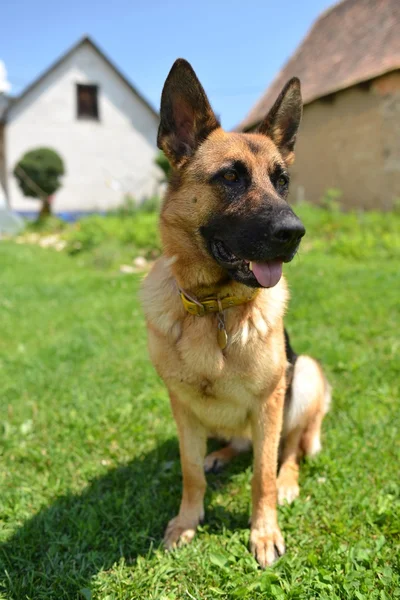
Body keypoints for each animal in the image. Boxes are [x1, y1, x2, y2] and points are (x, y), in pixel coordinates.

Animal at [141, 58, 332, 564]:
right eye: (229, 177)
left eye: (282, 181)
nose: (294, 233)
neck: (215, 308)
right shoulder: (183, 408)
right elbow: (189, 471)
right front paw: (187, 522)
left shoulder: (269, 404)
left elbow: (262, 475)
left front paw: (264, 532)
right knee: (236, 444)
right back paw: (221, 455)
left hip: (304, 375)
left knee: (288, 451)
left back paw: (288, 481)